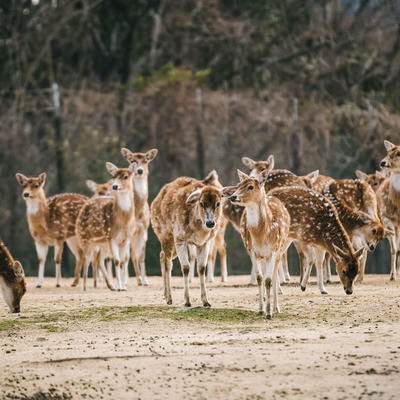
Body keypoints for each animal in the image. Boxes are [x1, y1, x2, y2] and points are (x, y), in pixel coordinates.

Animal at [76, 162, 137, 290]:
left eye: (125, 176)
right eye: (113, 176)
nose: (114, 186)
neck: (122, 222)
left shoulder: (126, 238)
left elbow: (122, 261)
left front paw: (122, 287)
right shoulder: (111, 236)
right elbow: (116, 261)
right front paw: (120, 287)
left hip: (101, 242)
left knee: (99, 259)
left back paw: (110, 285)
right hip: (84, 237)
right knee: (86, 258)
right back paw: (84, 286)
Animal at [120, 148, 158, 286]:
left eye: (146, 160)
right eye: (132, 160)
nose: (140, 170)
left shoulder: (144, 229)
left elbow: (141, 255)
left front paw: (145, 280)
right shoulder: (128, 230)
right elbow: (129, 255)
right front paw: (134, 280)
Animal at [150, 170, 223, 308]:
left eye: (218, 203)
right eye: (201, 203)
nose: (210, 223)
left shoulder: (204, 243)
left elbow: (201, 267)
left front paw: (206, 302)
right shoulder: (180, 238)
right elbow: (185, 267)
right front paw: (187, 301)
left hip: (171, 244)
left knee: (162, 255)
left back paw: (165, 295)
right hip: (164, 235)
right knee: (167, 262)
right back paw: (169, 298)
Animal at [222, 169, 290, 318]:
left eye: (250, 187)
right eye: (239, 184)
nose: (233, 197)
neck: (261, 235)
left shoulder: (273, 250)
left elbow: (269, 279)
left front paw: (269, 313)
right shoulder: (252, 250)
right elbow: (260, 278)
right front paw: (261, 309)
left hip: (280, 249)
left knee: (275, 276)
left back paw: (277, 308)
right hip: (263, 256)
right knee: (265, 275)